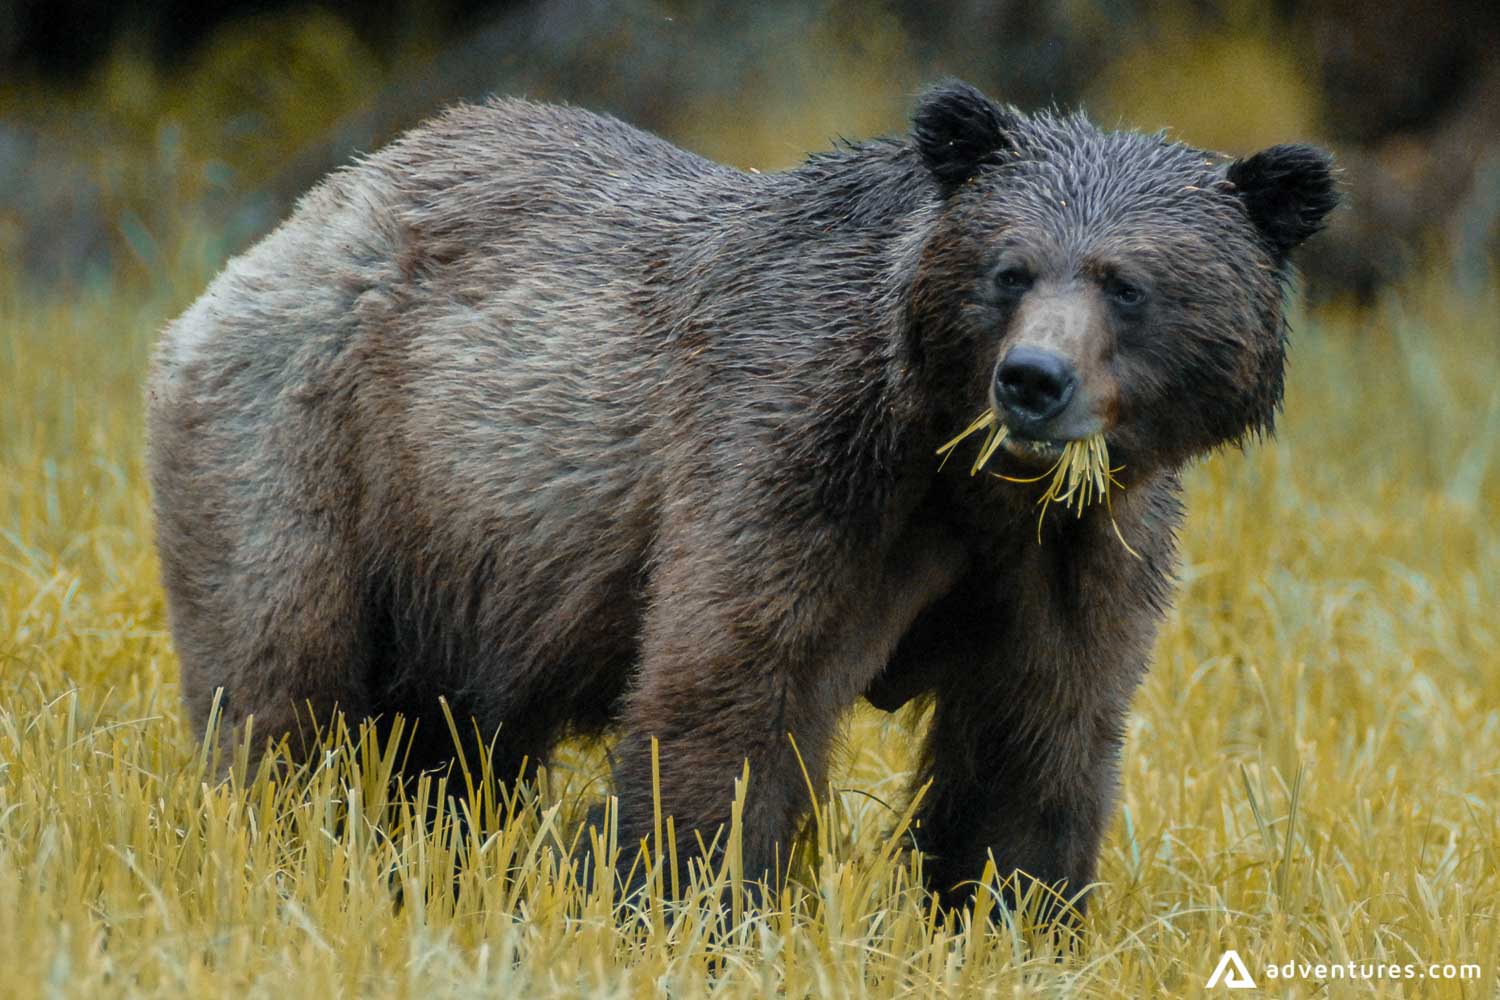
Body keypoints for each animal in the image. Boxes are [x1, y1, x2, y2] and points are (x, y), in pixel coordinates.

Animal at [146, 80, 1337, 920]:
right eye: (1010, 269)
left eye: (1128, 284)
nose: (1033, 381)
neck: (967, 478)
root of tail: (312, 212)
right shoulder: (795, 460)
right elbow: (732, 694)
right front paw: (687, 906)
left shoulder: (1079, 547)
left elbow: (1035, 739)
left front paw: (1012, 917)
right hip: (320, 451)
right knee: (281, 684)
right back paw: (276, 847)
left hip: (464, 561)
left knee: (447, 748)